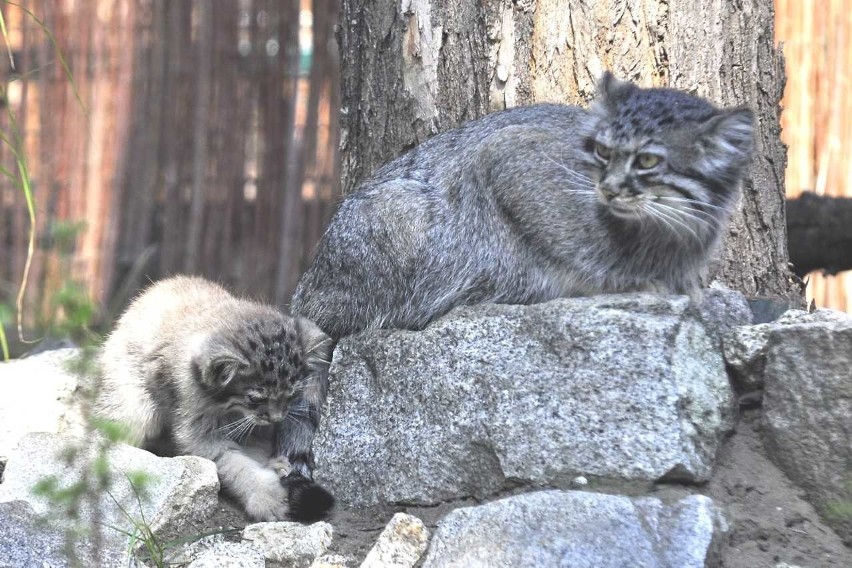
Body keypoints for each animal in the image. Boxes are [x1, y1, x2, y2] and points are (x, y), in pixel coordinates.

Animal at [94, 278, 332, 520]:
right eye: (255, 399)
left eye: (291, 395)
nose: (276, 418)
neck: (231, 411)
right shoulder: (199, 434)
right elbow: (235, 464)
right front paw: (267, 497)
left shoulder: (255, 428)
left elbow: (255, 449)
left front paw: (272, 465)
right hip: (135, 406)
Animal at [292, 70, 752, 338]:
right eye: (603, 152)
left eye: (648, 161)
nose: (608, 188)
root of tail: (306, 286)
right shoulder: (506, 153)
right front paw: (628, 281)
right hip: (396, 211)